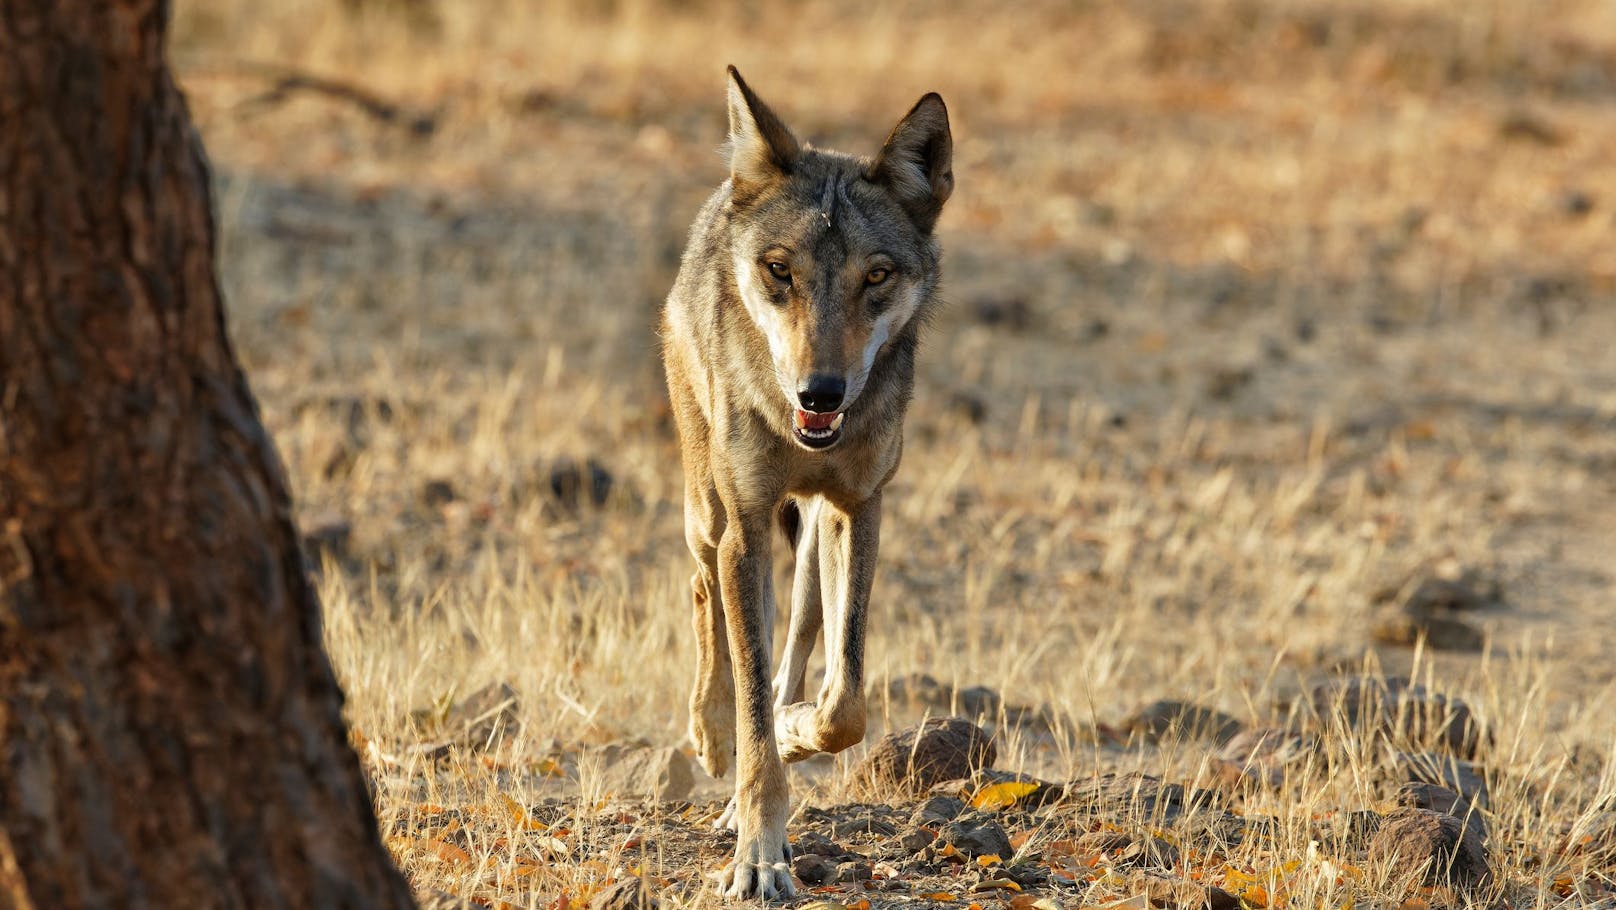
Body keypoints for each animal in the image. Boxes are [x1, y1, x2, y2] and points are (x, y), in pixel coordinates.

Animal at [659, 67, 950, 898]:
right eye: (779, 270)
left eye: (875, 277)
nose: (820, 394)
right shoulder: (748, 527)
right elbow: (753, 695)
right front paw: (758, 856)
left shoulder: (862, 507)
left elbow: (844, 701)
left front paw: (794, 736)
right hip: (709, 512)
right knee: (704, 594)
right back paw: (710, 735)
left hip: (816, 533)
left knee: (798, 634)